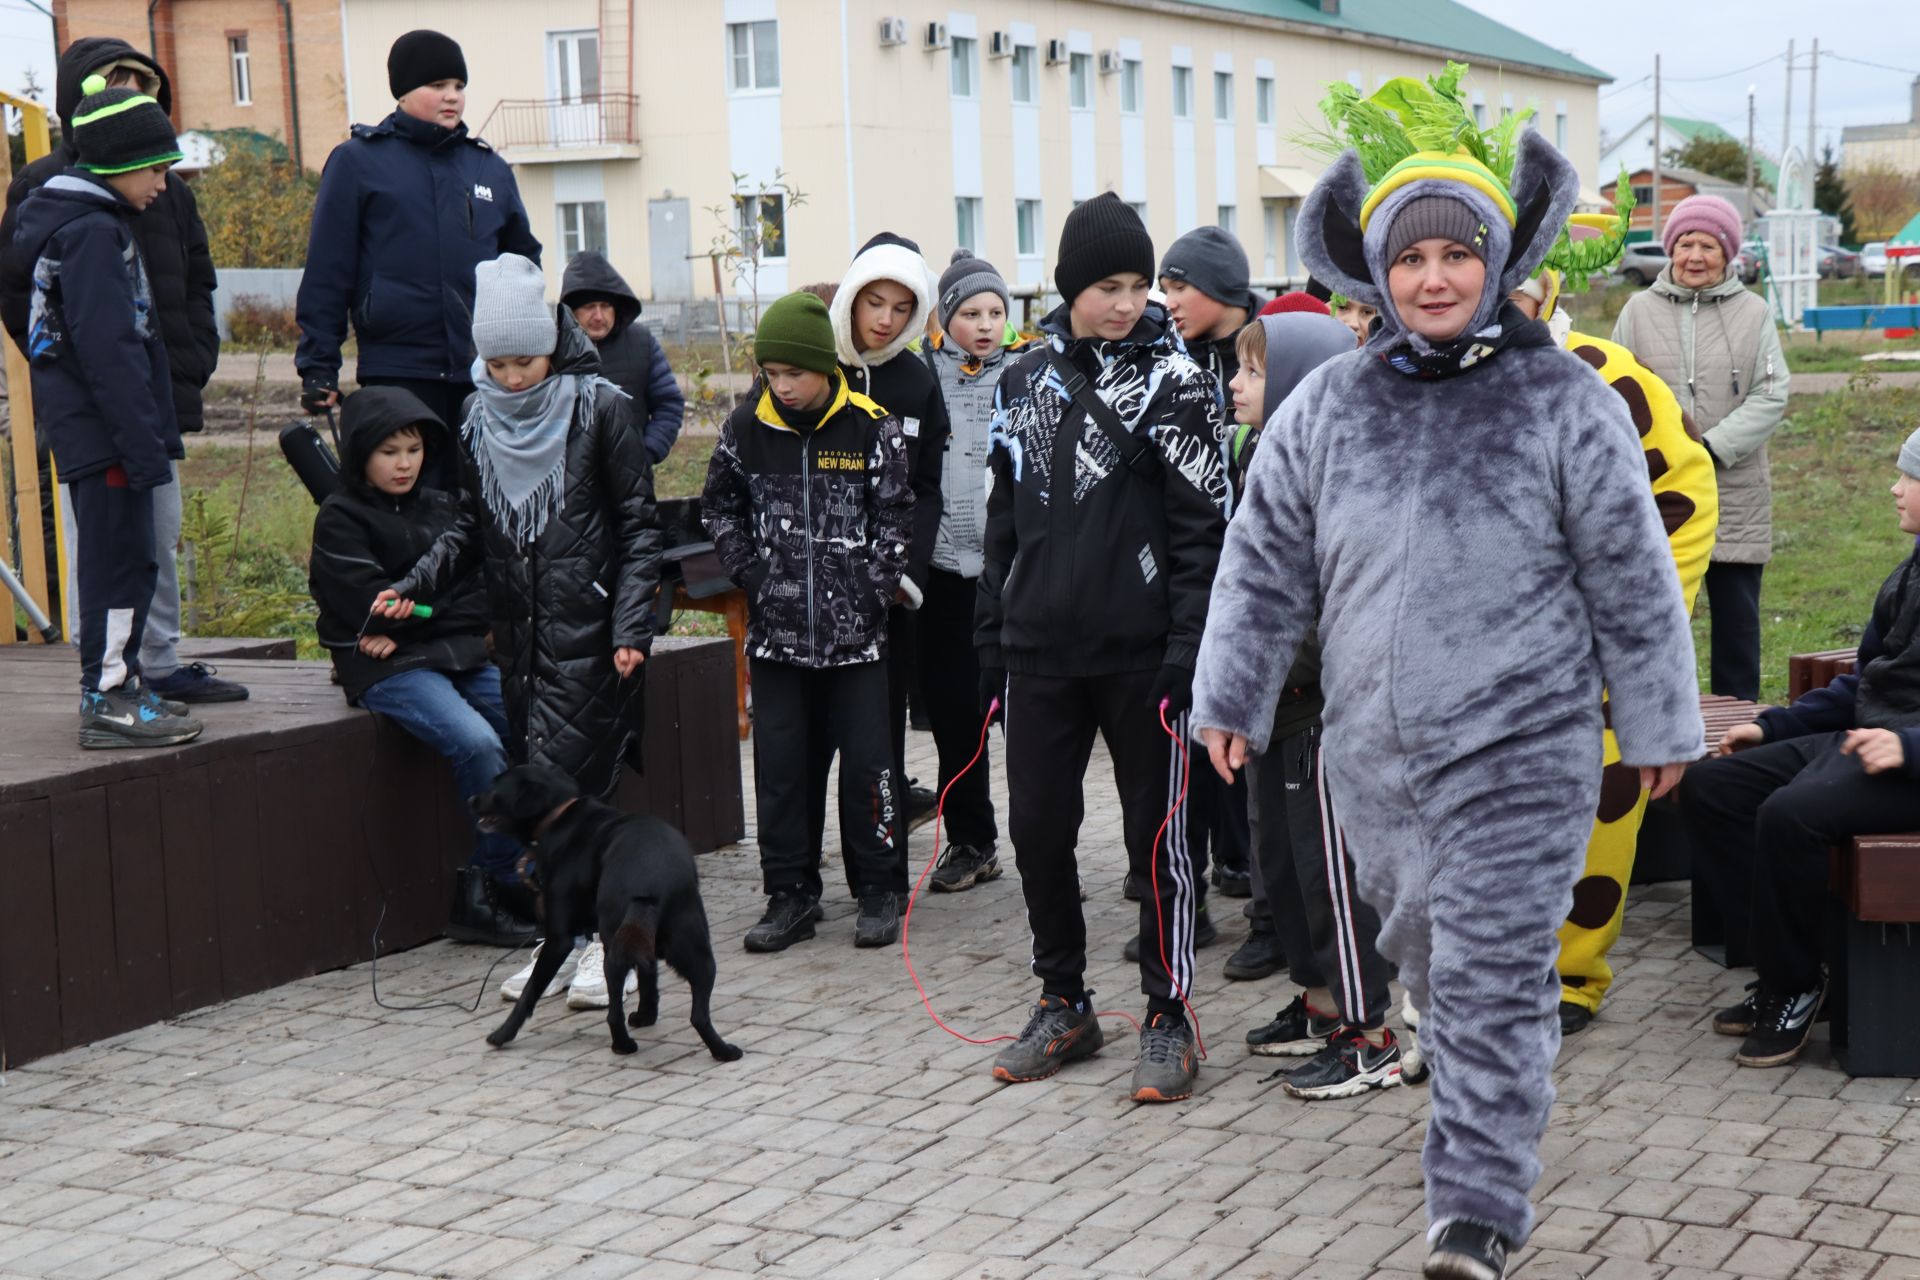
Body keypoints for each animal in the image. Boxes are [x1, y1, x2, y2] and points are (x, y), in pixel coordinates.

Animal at [476, 767, 744, 1066]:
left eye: (495, 787)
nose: (472, 799)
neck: (560, 814)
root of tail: (647, 888)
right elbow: (648, 977)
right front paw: (646, 1016)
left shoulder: (558, 939)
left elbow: (530, 991)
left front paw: (503, 1033)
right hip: (691, 952)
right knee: (693, 1014)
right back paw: (716, 1051)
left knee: (626, 1012)